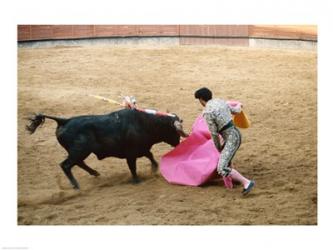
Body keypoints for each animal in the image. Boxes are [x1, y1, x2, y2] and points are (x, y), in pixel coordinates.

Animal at [26, 109, 187, 189]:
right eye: (175, 131)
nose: (179, 143)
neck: (146, 123)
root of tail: (64, 121)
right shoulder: (131, 154)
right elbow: (133, 167)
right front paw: (136, 180)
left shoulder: (141, 149)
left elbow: (150, 155)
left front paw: (154, 168)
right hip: (80, 151)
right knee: (66, 165)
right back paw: (76, 185)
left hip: (80, 152)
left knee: (77, 163)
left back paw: (95, 173)